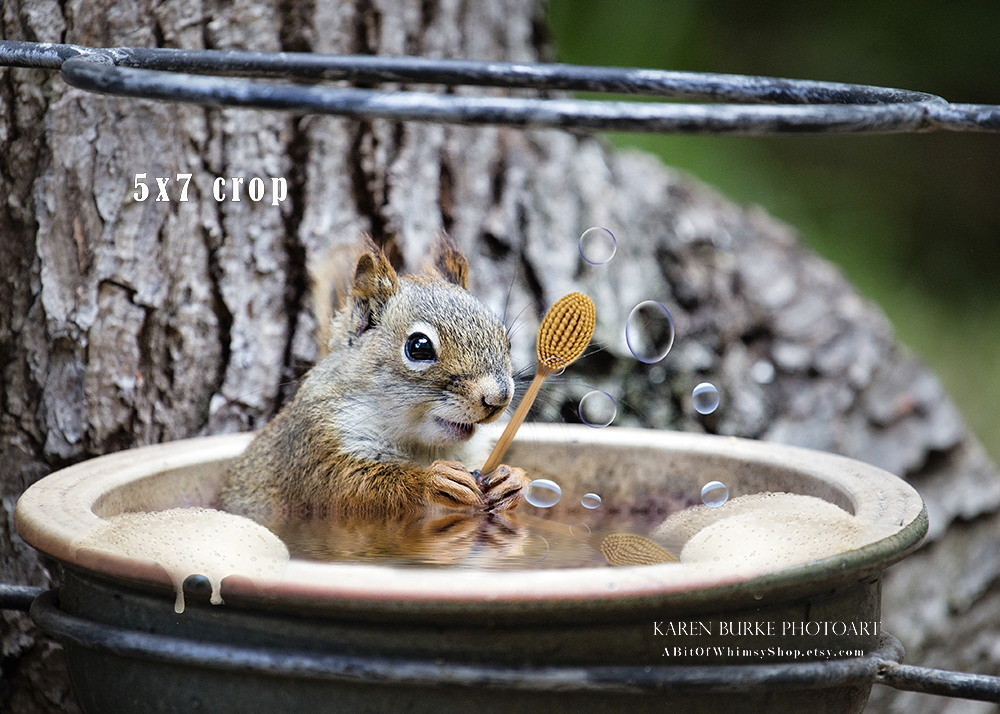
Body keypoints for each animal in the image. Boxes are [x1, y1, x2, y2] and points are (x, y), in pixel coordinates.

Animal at [218, 234, 530, 525]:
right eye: (419, 347)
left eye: (506, 339)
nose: (498, 399)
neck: (420, 444)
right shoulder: (317, 450)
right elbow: (354, 488)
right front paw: (434, 480)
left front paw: (512, 479)